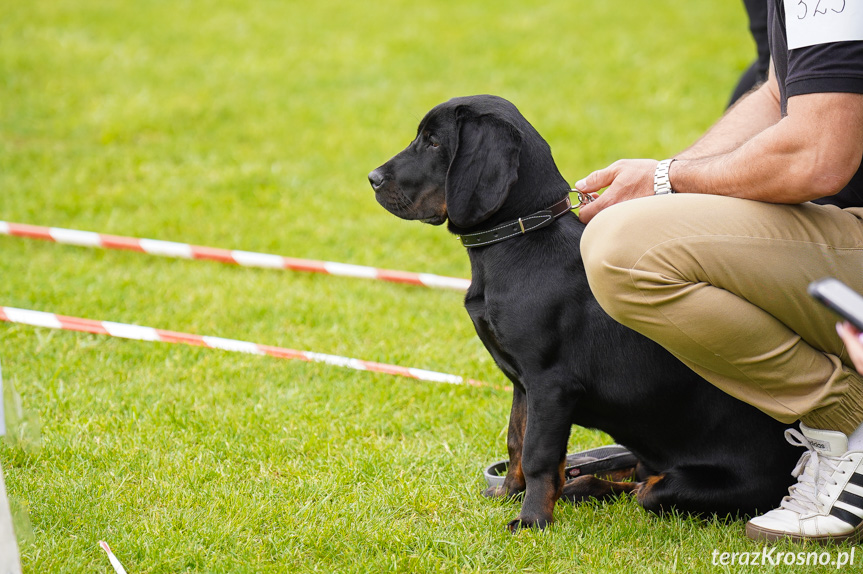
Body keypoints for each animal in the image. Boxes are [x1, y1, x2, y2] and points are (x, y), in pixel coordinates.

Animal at [368, 94, 800, 532]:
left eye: (434, 142)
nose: (372, 178)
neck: (519, 239)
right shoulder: (524, 385)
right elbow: (515, 440)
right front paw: (507, 494)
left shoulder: (551, 384)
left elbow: (538, 455)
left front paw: (532, 520)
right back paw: (581, 487)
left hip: (687, 484)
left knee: (645, 491)